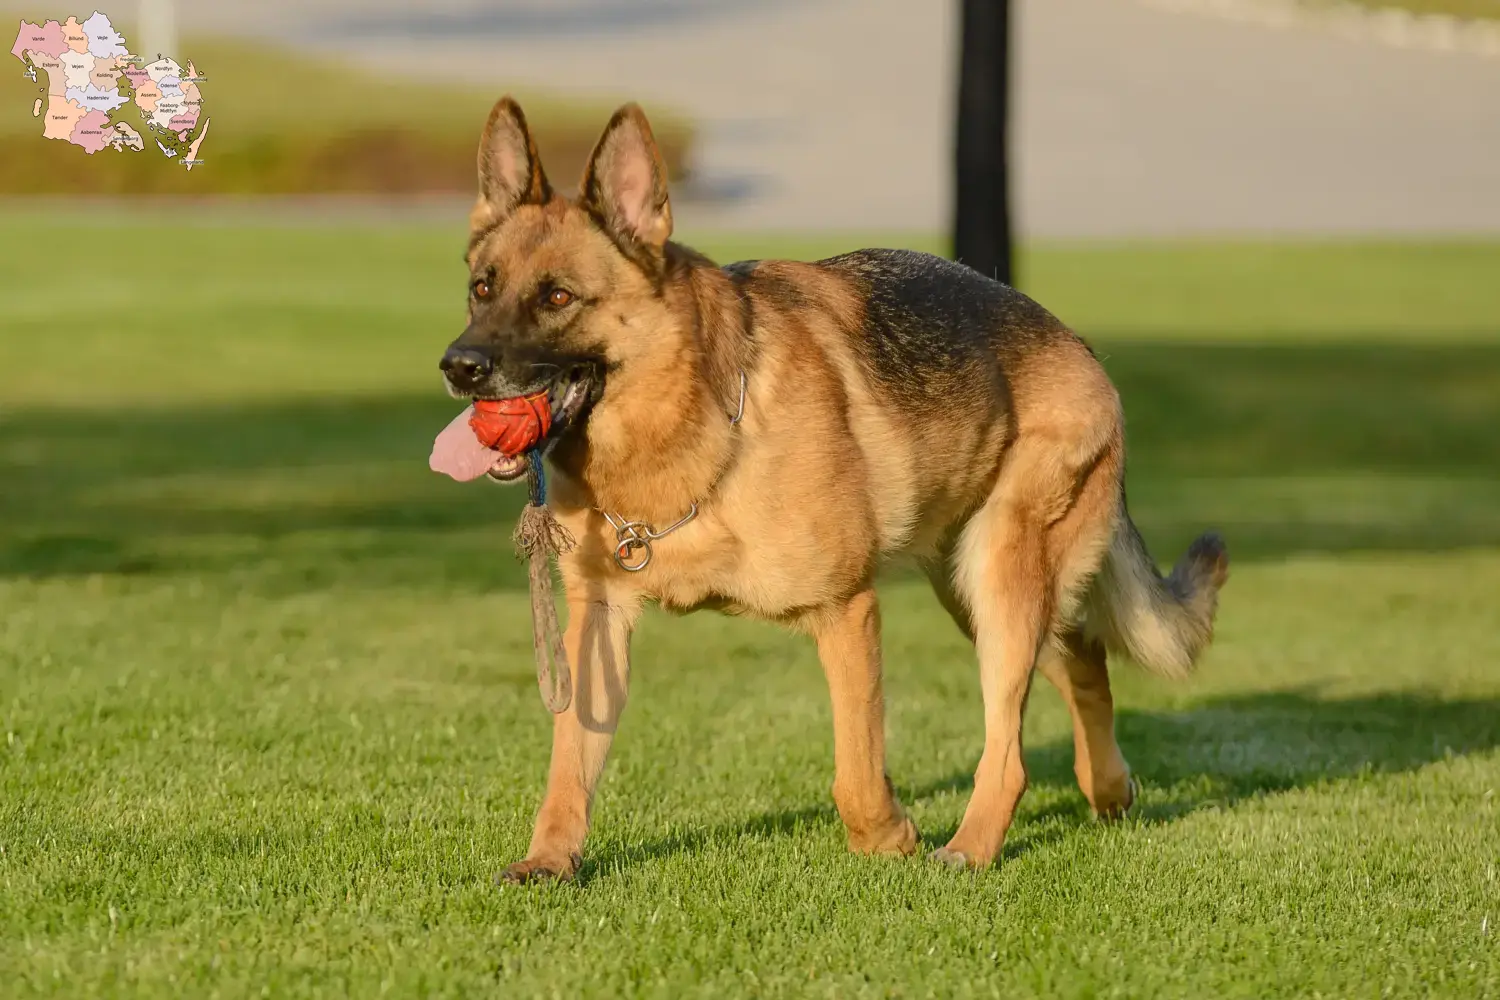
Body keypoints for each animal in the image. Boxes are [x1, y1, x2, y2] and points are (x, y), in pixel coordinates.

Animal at [438, 97, 1230, 881]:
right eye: (482, 288)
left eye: (558, 297)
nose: (458, 367)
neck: (695, 428)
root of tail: (1075, 342)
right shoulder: (599, 621)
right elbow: (568, 763)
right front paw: (550, 859)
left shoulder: (846, 611)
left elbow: (855, 773)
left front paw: (890, 841)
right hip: (976, 592)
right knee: (1081, 658)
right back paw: (1108, 790)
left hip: (1001, 578)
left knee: (1008, 749)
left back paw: (969, 848)